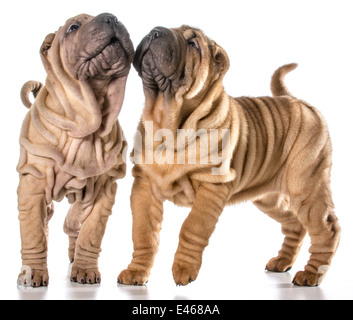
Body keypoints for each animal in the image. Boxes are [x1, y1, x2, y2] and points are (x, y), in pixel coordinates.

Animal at [16, 13, 133, 288]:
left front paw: (85, 270)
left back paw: (73, 258)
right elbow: (33, 232)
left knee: (73, 226)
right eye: (73, 28)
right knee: (46, 223)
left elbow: (91, 234)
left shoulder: (104, 191)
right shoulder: (33, 183)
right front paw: (33, 272)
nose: (111, 17)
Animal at [117, 26, 338, 286]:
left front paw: (183, 269)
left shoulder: (211, 186)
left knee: (326, 229)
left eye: (193, 44)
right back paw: (282, 263)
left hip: (306, 187)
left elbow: (192, 227)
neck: (167, 121)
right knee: (295, 224)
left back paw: (311, 274)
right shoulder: (144, 186)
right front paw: (136, 272)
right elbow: (143, 234)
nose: (155, 31)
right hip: (268, 198)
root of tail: (297, 101)